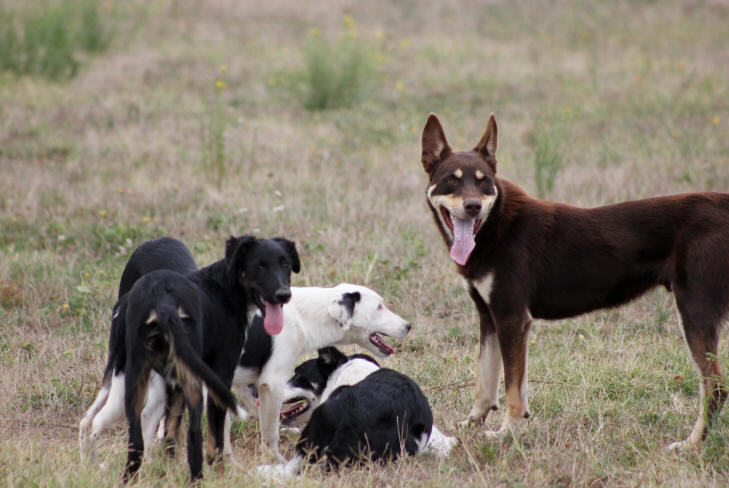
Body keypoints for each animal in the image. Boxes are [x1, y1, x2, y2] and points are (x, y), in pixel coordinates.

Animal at [420, 112, 728, 448]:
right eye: (452, 180)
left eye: (483, 182)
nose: (473, 205)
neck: (494, 226)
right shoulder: (489, 316)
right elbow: (485, 380)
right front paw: (473, 423)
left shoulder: (512, 318)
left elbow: (513, 389)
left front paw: (507, 433)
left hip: (694, 311)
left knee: (714, 386)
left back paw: (691, 444)